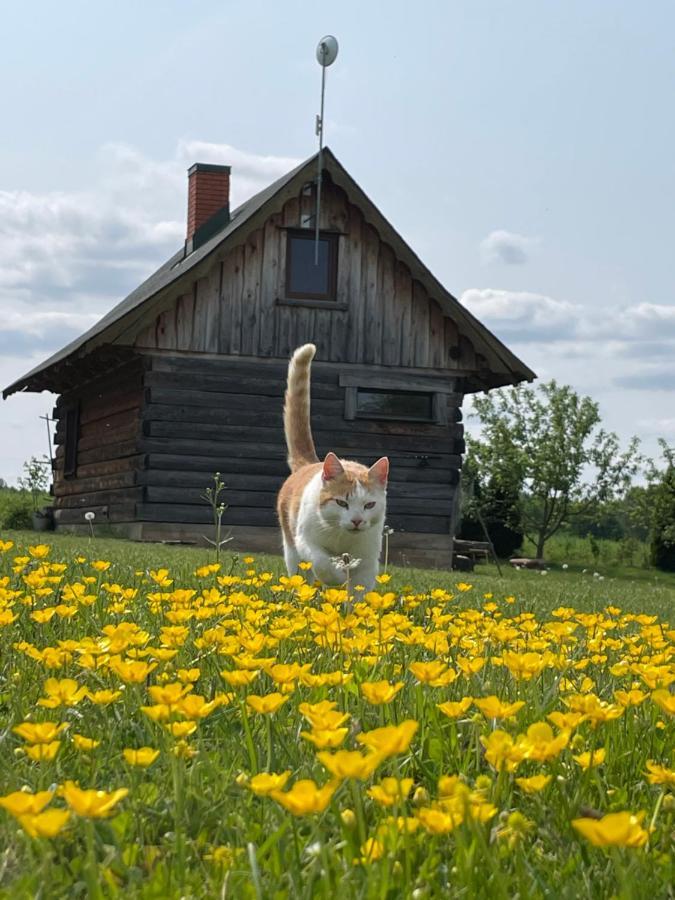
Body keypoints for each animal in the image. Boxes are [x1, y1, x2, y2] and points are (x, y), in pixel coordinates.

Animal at [276, 342, 390, 588]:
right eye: (341, 502)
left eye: (369, 505)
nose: (357, 521)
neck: (342, 539)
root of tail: (310, 463)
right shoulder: (305, 541)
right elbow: (322, 563)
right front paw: (338, 577)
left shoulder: (369, 560)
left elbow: (361, 590)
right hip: (291, 548)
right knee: (301, 574)